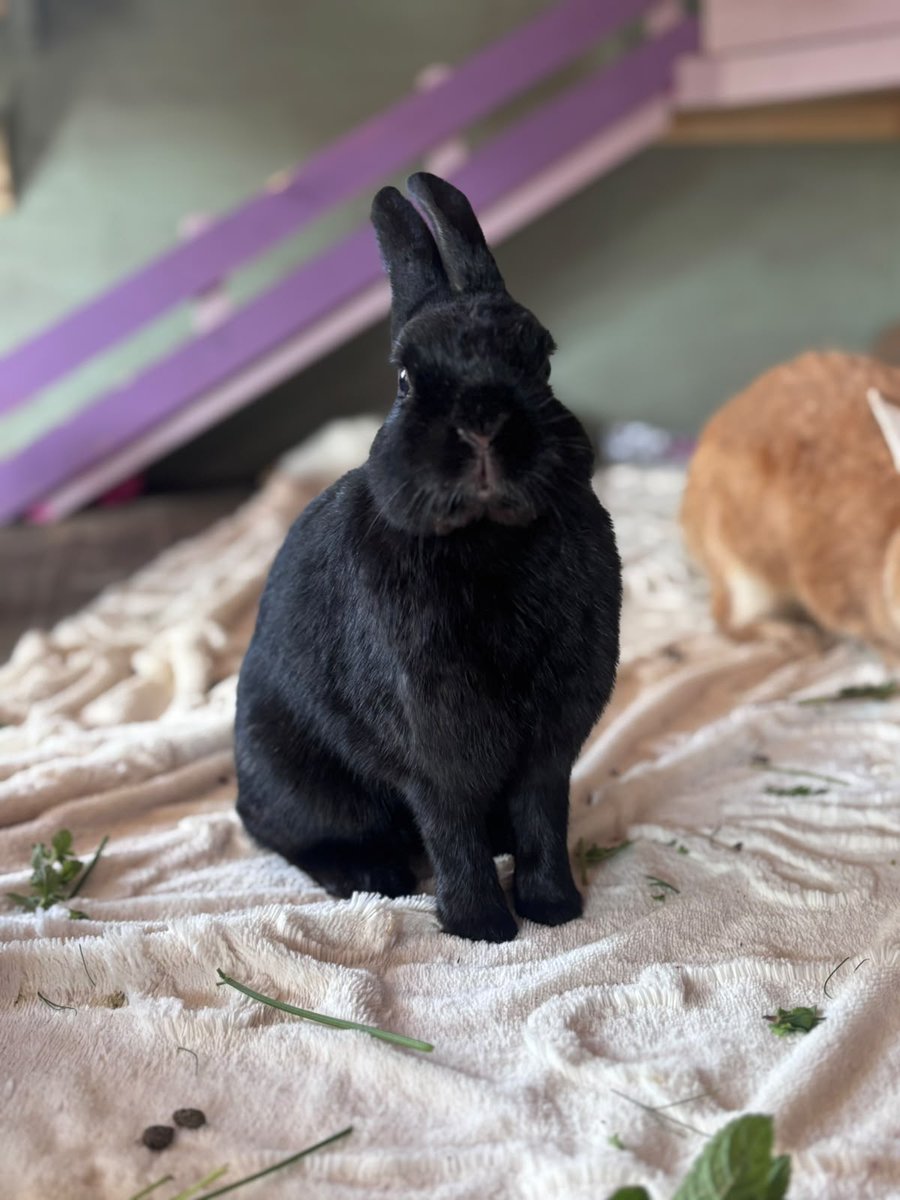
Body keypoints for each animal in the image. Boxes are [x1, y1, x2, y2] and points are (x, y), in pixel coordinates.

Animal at [235, 172, 622, 942]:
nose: (482, 422)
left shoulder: (548, 746)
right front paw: (482, 928)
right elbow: (451, 829)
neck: (492, 540)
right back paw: (370, 877)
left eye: (542, 359)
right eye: (407, 379)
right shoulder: (441, 750)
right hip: (300, 783)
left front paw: (553, 909)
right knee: (291, 838)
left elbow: (543, 817)